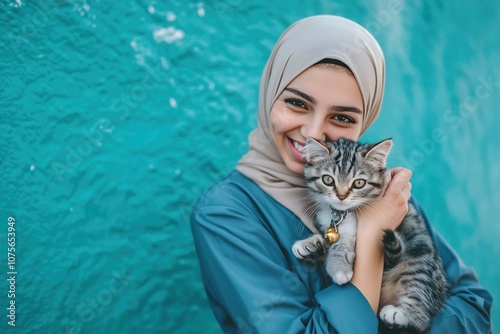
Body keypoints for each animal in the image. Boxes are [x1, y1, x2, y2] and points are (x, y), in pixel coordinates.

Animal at [292, 137, 448, 332]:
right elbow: (329, 237)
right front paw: (310, 244)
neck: (341, 214)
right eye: (328, 180)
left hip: (419, 262)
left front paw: (339, 269)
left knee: (422, 319)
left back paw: (399, 314)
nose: (341, 196)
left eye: (359, 183)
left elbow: (343, 243)